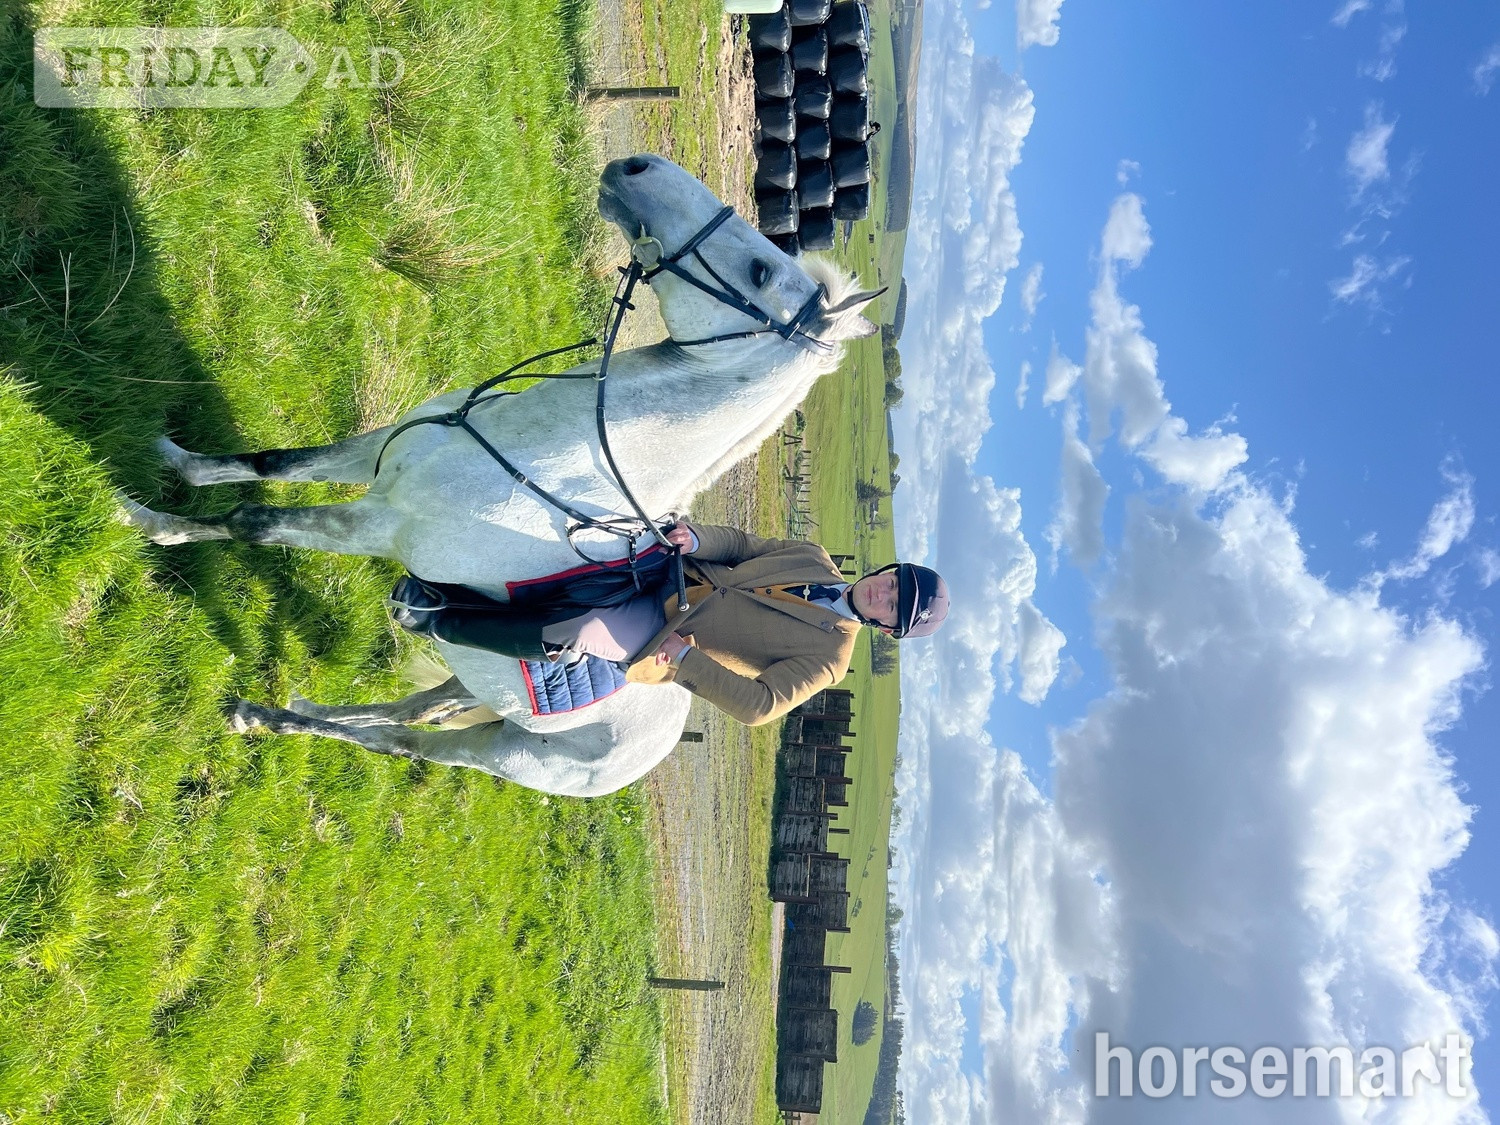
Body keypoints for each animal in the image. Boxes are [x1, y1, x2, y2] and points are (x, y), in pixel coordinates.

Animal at [119, 153, 881, 797]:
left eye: (758, 273)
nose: (638, 167)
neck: (549, 457)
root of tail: (657, 745)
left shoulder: (379, 524)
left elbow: (252, 521)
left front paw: (148, 523)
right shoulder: (376, 455)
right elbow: (270, 464)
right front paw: (172, 458)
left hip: (506, 750)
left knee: (406, 741)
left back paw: (266, 716)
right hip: (471, 673)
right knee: (413, 709)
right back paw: (290, 709)